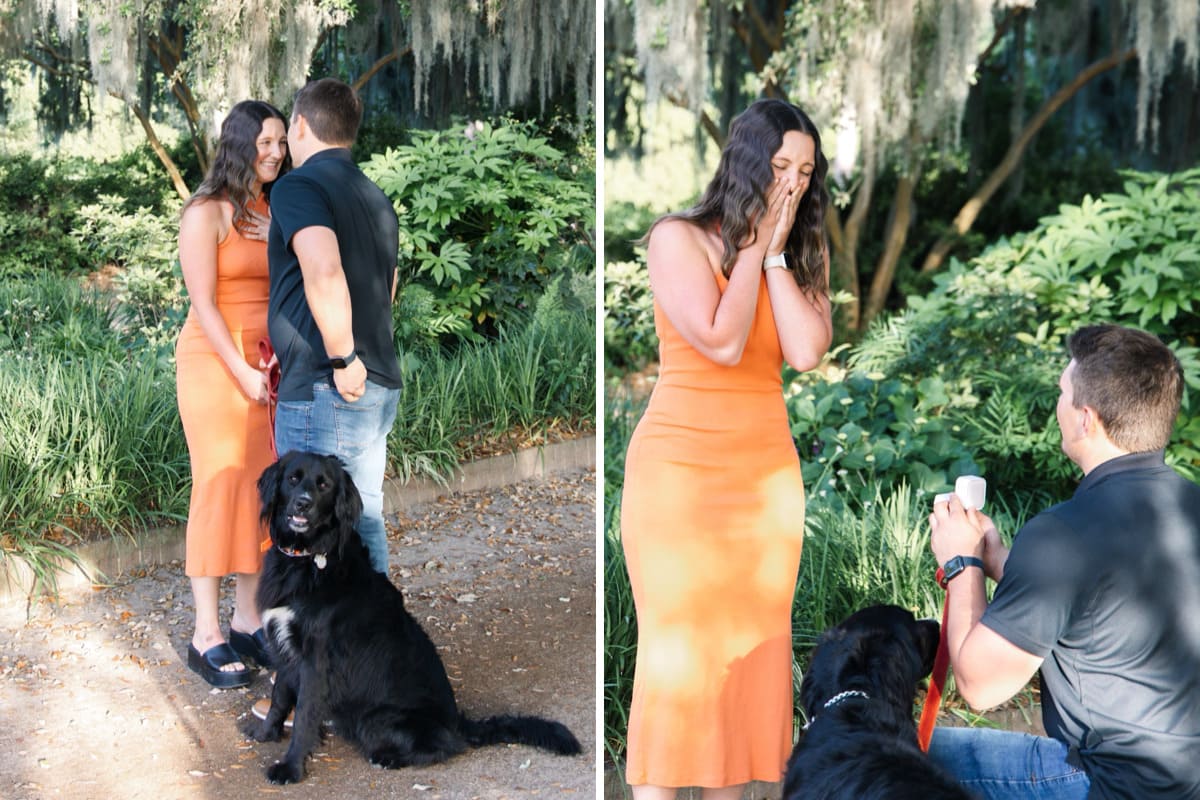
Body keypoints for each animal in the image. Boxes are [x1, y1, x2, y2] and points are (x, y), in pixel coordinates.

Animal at [240, 453, 580, 786]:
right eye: (293, 479)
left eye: (323, 485)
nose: (303, 503)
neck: (309, 559)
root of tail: (456, 721)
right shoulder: (284, 647)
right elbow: (279, 697)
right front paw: (266, 733)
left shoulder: (315, 661)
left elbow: (304, 717)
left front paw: (290, 768)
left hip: (377, 719)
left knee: (448, 746)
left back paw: (389, 758)